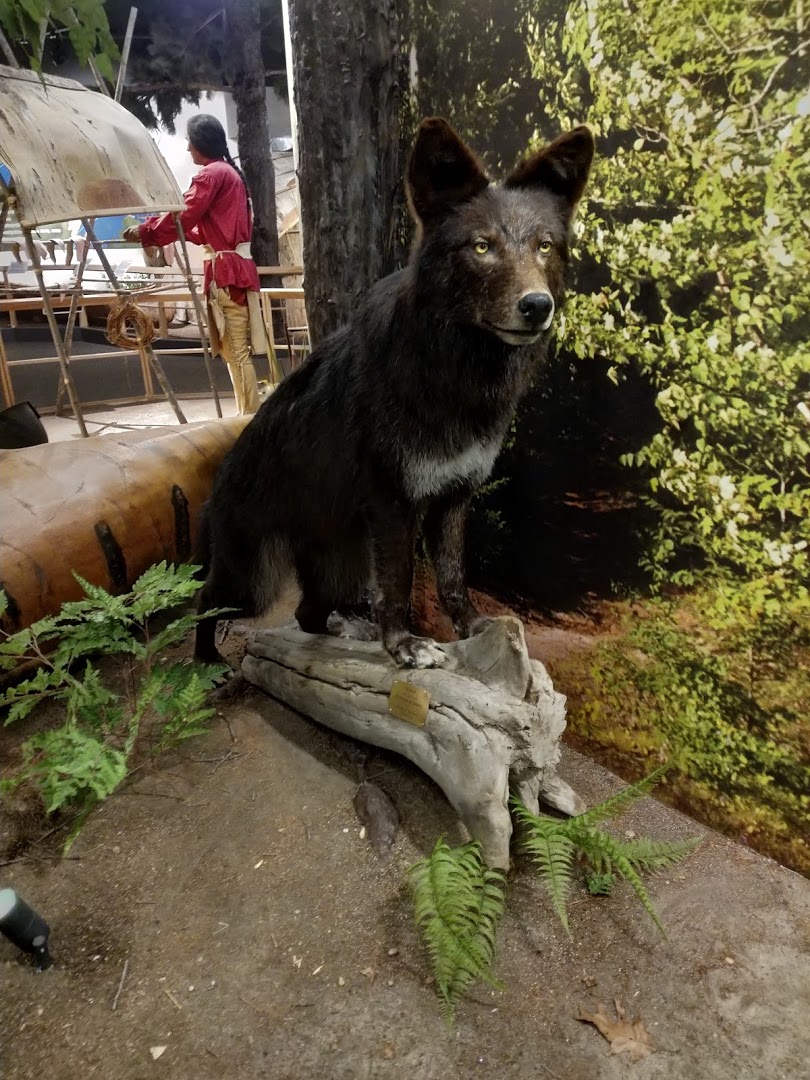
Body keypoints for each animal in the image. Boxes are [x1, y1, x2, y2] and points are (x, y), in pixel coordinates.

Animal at [194, 117, 594, 669]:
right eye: (482, 246)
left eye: (544, 246)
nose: (537, 306)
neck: (453, 373)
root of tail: (216, 483)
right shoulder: (395, 506)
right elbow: (400, 584)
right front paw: (405, 647)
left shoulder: (453, 499)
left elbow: (453, 577)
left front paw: (472, 628)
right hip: (254, 585)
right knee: (203, 601)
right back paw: (207, 662)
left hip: (339, 569)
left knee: (306, 614)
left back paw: (346, 635)